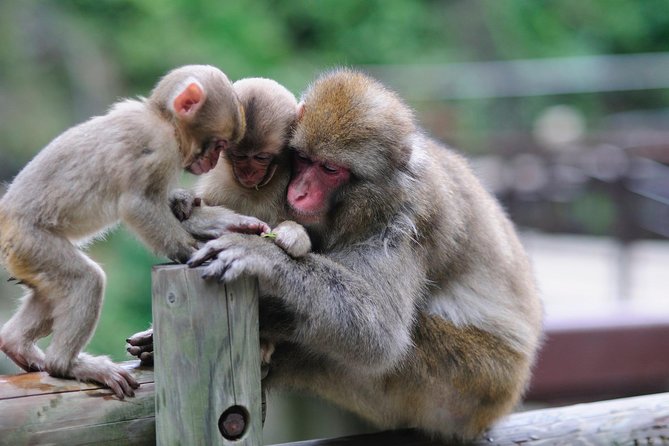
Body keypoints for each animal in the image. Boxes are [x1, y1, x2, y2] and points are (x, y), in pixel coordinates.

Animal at [0, 64, 253, 399]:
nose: (212, 162)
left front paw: (210, 219)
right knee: (86, 281)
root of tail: (4, 218)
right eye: (219, 144)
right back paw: (66, 365)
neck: (162, 118)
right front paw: (191, 249)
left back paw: (15, 344)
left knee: (47, 293)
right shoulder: (158, 147)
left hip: (24, 256)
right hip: (30, 241)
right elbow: (138, 204)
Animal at [129, 68, 543, 440]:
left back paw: (270, 323)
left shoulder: (406, 221)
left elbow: (380, 332)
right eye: (302, 159)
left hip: (470, 383)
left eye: (329, 169)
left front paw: (260, 255)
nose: (298, 193)